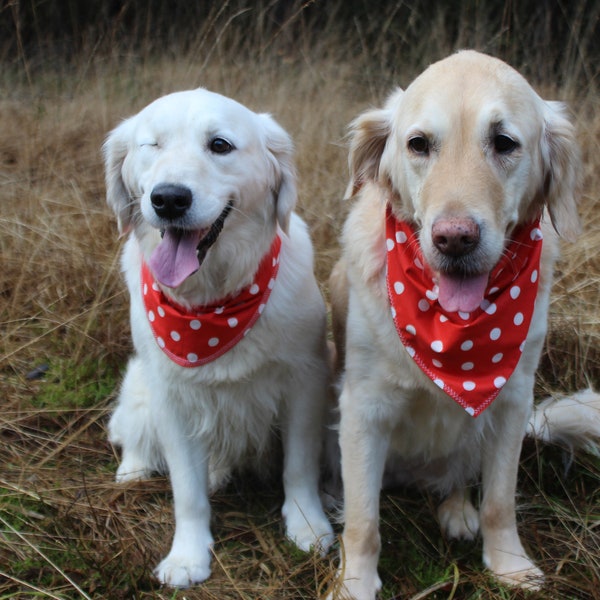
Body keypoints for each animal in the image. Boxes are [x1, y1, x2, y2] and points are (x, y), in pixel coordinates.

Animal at [105, 89, 336, 584]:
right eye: (151, 144)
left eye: (220, 145)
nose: (169, 198)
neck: (211, 303)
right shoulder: (171, 397)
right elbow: (187, 493)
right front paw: (187, 556)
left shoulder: (306, 383)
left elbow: (299, 468)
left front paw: (307, 525)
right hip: (139, 385)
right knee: (134, 436)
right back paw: (133, 470)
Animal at [328, 50, 600, 596]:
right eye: (418, 144)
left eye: (504, 142)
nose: (454, 239)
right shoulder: (363, 408)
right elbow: (364, 521)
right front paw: (355, 584)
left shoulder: (513, 398)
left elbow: (500, 500)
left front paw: (510, 564)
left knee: (455, 477)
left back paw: (456, 511)